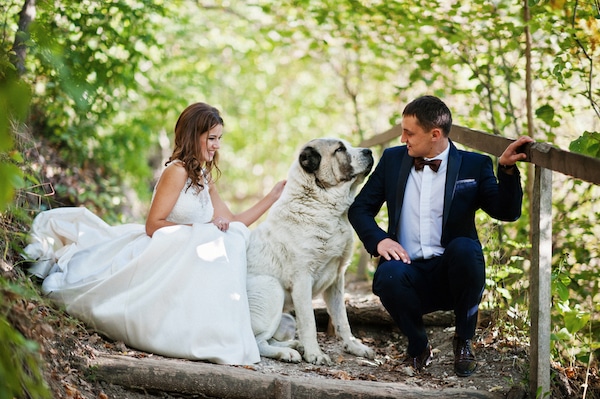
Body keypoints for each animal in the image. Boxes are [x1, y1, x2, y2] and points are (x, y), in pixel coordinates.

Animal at [246, 138, 372, 366]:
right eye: (340, 149)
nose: (369, 151)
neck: (323, 205)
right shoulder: (302, 280)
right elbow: (309, 323)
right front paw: (315, 354)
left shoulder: (337, 279)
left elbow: (342, 320)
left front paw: (354, 347)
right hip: (271, 288)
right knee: (257, 342)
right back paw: (287, 353)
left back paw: (293, 345)